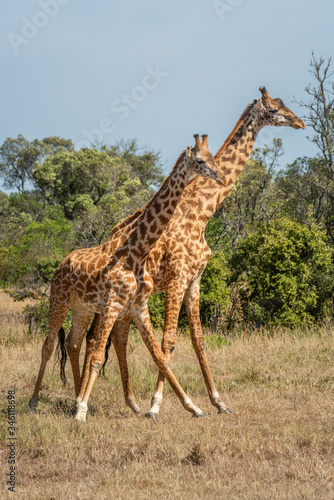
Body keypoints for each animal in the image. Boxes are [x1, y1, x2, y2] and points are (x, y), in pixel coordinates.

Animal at [29, 135, 227, 420]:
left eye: (212, 158)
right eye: (200, 161)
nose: (221, 177)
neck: (136, 252)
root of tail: (60, 264)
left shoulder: (138, 307)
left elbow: (158, 355)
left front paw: (193, 407)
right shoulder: (113, 305)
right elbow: (98, 357)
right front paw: (83, 412)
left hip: (82, 308)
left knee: (73, 343)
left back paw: (75, 398)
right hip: (58, 300)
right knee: (48, 345)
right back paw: (36, 401)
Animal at [81, 87, 306, 418]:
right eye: (275, 110)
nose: (300, 122)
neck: (202, 212)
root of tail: (108, 240)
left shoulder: (195, 280)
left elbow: (198, 339)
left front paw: (218, 401)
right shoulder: (178, 277)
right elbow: (169, 340)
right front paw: (157, 404)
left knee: (115, 338)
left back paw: (122, 401)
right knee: (99, 338)